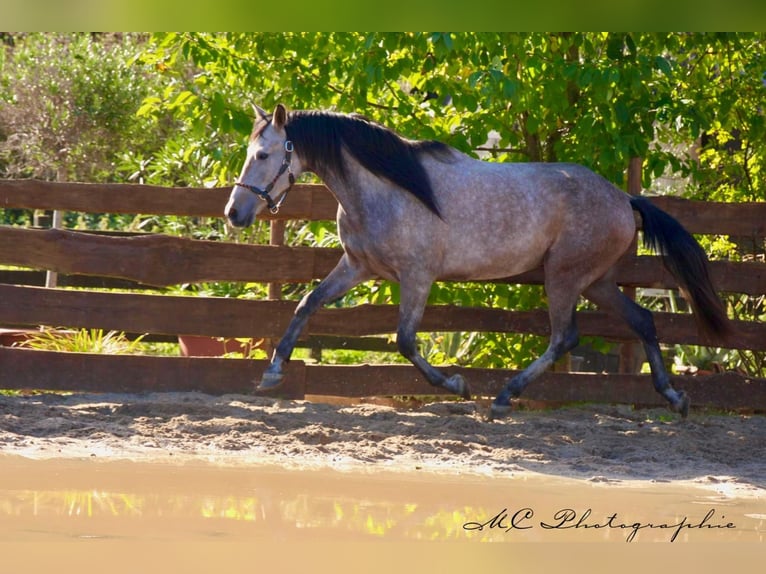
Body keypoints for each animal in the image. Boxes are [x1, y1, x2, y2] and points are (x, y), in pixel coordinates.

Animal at [225, 103, 730, 419]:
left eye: (264, 154)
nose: (234, 213)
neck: (386, 190)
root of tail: (624, 199)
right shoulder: (357, 266)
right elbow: (306, 304)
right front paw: (272, 373)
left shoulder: (417, 277)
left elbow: (405, 340)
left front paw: (457, 385)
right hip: (596, 281)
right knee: (643, 320)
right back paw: (674, 397)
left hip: (564, 276)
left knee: (565, 336)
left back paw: (504, 396)